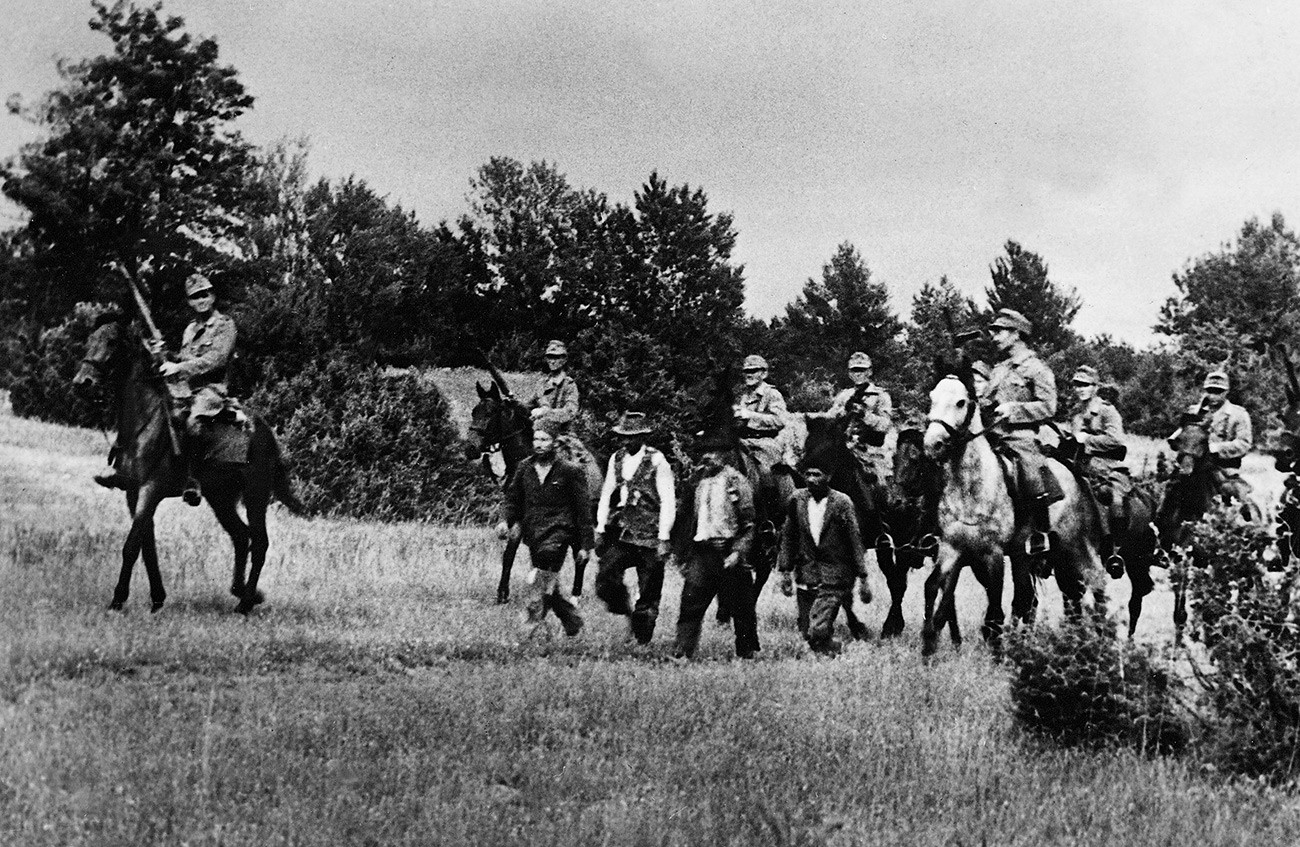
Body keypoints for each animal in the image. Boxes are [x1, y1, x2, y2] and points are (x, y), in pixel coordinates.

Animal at [73, 314, 301, 613]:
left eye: (112, 342)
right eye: (90, 339)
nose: (82, 382)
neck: (144, 423)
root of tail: (267, 433)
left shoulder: (150, 490)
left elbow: (132, 546)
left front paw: (118, 600)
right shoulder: (133, 493)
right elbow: (147, 546)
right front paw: (157, 598)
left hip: (256, 494)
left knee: (260, 543)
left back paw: (246, 603)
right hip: (220, 497)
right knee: (241, 537)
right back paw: (242, 592)